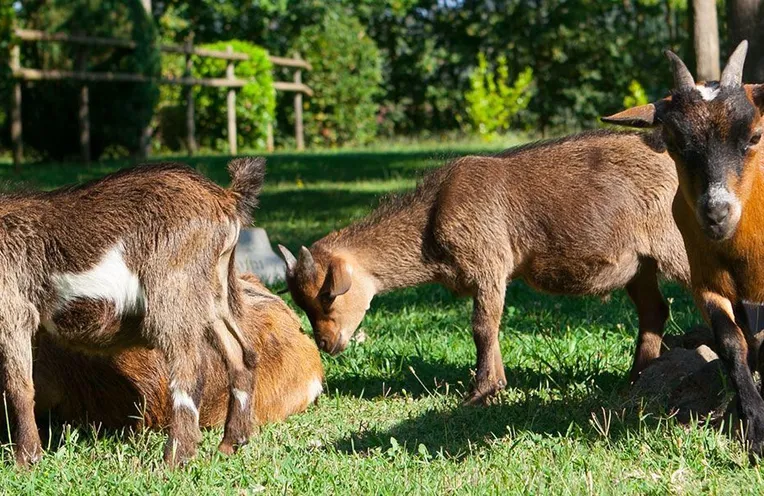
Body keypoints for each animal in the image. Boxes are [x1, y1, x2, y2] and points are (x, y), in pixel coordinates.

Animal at [0, 158, 266, 464]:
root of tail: (224, 198)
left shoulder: (14, 310)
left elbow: (19, 387)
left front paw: (26, 460)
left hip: (173, 291)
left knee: (189, 368)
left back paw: (174, 459)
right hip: (212, 296)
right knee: (242, 355)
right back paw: (230, 444)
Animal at [278, 130, 688, 404]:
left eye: (328, 295)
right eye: (301, 302)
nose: (326, 343)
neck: (432, 217)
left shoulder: (489, 263)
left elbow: (481, 327)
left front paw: (482, 391)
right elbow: (488, 326)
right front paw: (494, 384)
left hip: (676, 248)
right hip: (640, 266)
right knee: (654, 310)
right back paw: (636, 378)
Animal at [604, 41, 764, 458]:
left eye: (755, 135)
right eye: (674, 143)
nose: (716, 212)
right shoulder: (707, 283)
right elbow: (732, 343)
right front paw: (752, 422)